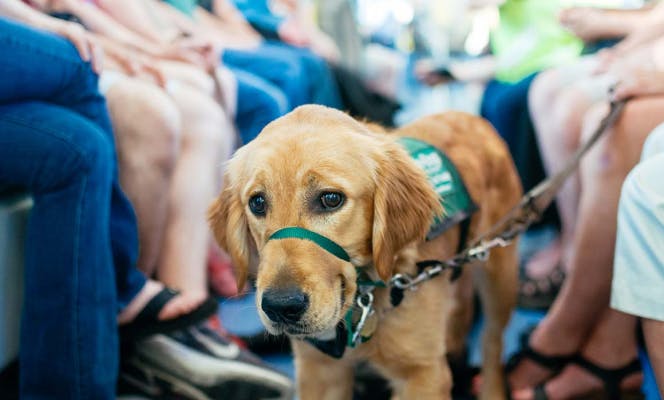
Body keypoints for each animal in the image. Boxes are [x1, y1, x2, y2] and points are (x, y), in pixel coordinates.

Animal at [210, 104, 520, 398]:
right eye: (258, 202)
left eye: (331, 198)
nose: (281, 307)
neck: (365, 300)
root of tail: (472, 118)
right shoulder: (318, 370)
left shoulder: (423, 375)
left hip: (500, 275)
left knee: (492, 340)